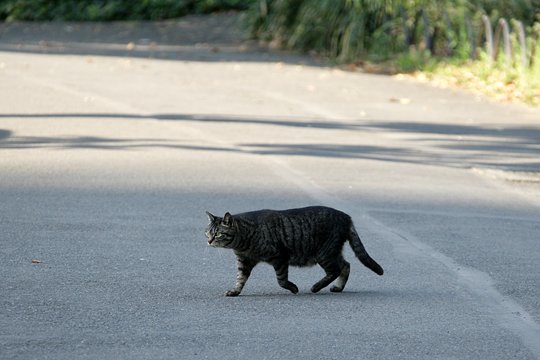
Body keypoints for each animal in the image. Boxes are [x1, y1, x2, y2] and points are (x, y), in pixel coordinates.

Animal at [204, 205, 384, 296]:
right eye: (207, 232)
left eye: (218, 233)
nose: (209, 240)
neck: (244, 241)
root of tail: (346, 217)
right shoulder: (244, 261)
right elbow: (240, 278)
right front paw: (235, 291)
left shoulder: (280, 257)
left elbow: (281, 280)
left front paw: (293, 288)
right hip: (332, 252)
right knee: (346, 265)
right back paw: (337, 288)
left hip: (324, 253)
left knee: (335, 270)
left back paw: (316, 287)